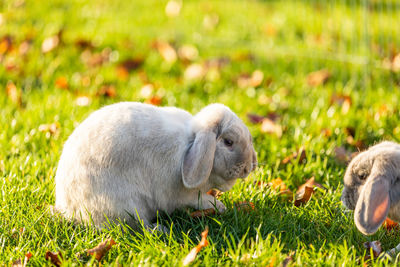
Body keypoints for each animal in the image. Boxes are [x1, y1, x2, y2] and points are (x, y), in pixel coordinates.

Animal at [54, 102, 256, 230]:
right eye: (228, 142)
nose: (249, 168)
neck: (190, 144)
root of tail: (67, 209)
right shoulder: (180, 195)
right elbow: (199, 199)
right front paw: (219, 206)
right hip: (128, 206)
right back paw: (159, 229)